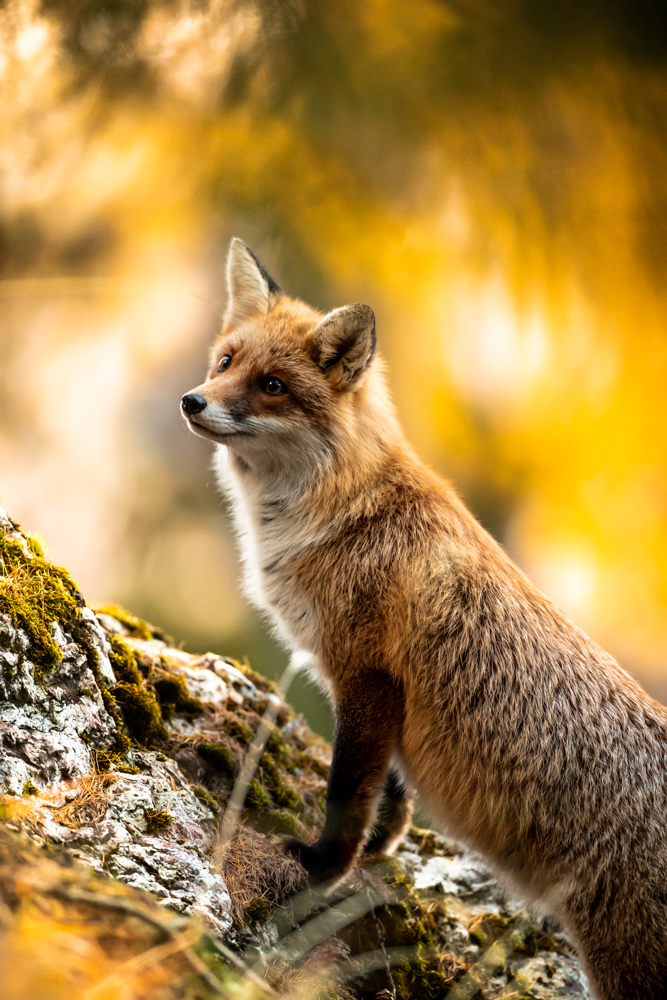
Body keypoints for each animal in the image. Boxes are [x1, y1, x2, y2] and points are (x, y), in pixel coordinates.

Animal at [180, 236, 667, 1000]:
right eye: (226, 361)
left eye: (273, 385)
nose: (192, 399)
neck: (341, 514)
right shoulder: (384, 694)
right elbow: (391, 797)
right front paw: (376, 858)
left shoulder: (366, 673)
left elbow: (349, 791)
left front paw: (325, 867)